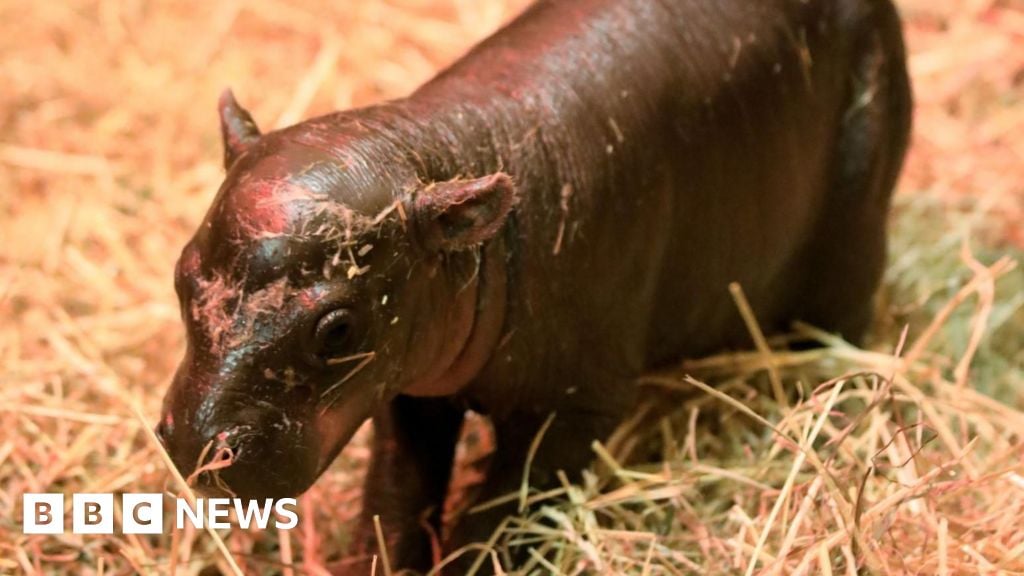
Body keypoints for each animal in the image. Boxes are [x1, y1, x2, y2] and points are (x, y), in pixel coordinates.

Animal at [157, 0, 911, 571]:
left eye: (338, 327)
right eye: (181, 274)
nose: (194, 442)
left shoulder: (576, 407)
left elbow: (498, 519)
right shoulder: (408, 388)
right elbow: (395, 498)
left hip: (854, 227)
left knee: (841, 322)